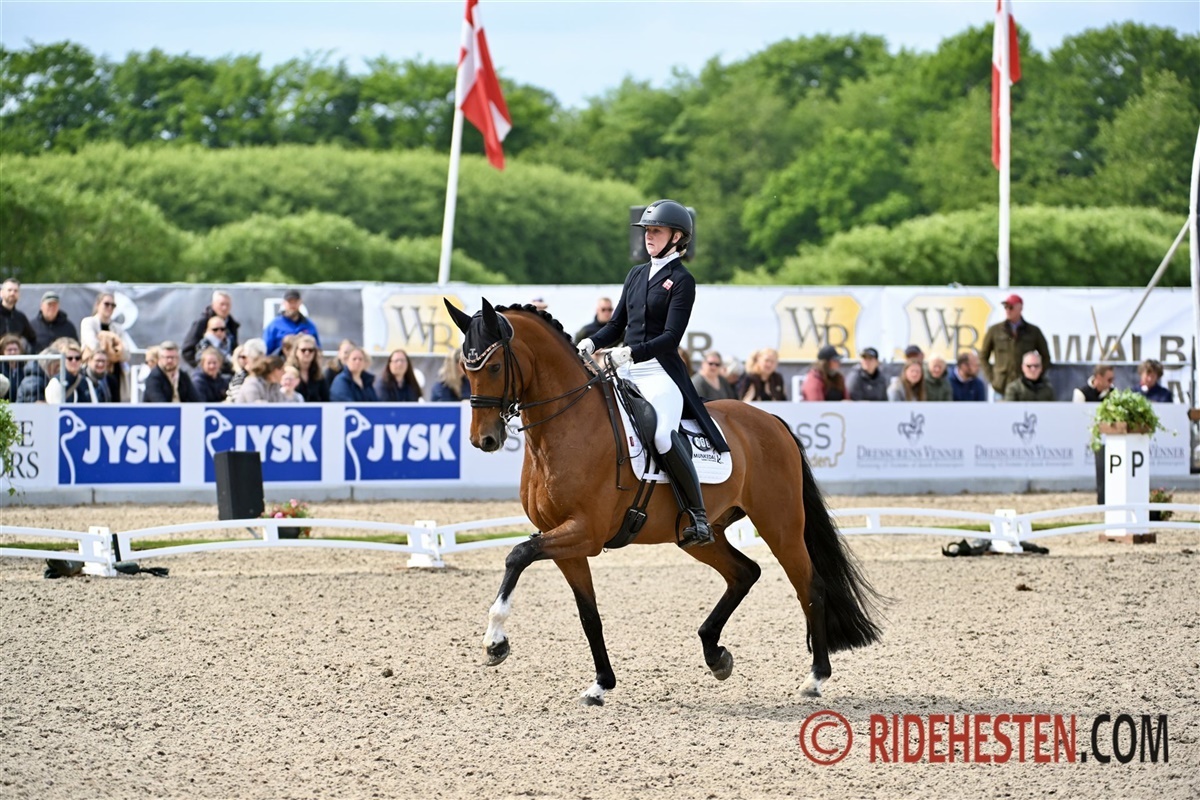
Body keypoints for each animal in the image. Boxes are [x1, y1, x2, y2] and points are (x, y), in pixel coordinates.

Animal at [445, 299, 882, 705]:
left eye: (494, 367)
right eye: (466, 369)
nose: (484, 440)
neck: (566, 427)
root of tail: (770, 420)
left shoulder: (584, 532)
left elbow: (517, 554)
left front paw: (495, 641)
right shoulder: (564, 540)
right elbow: (588, 614)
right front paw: (600, 685)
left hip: (781, 524)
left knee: (811, 586)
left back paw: (815, 678)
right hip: (698, 535)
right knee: (745, 572)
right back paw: (715, 654)